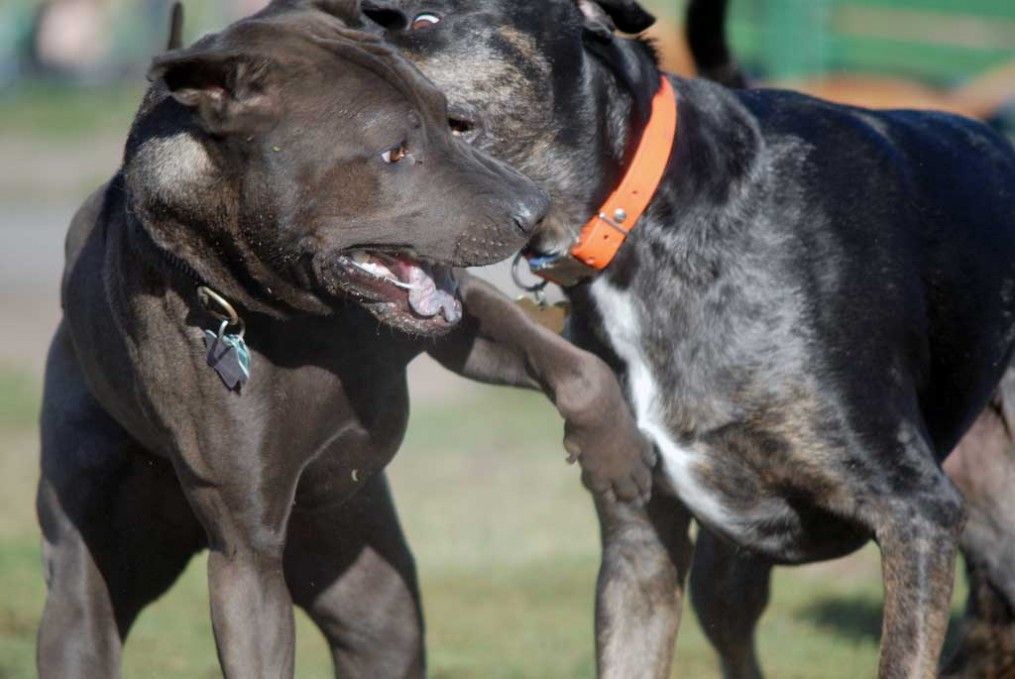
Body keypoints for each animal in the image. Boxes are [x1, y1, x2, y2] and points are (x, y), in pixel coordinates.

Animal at [39, 2, 653, 673]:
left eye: (451, 121)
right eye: (394, 151)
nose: (532, 208)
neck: (303, 318)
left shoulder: (451, 323)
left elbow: (577, 368)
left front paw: (617, 455)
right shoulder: (246, 556)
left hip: (363, 578)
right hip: (87, 574)